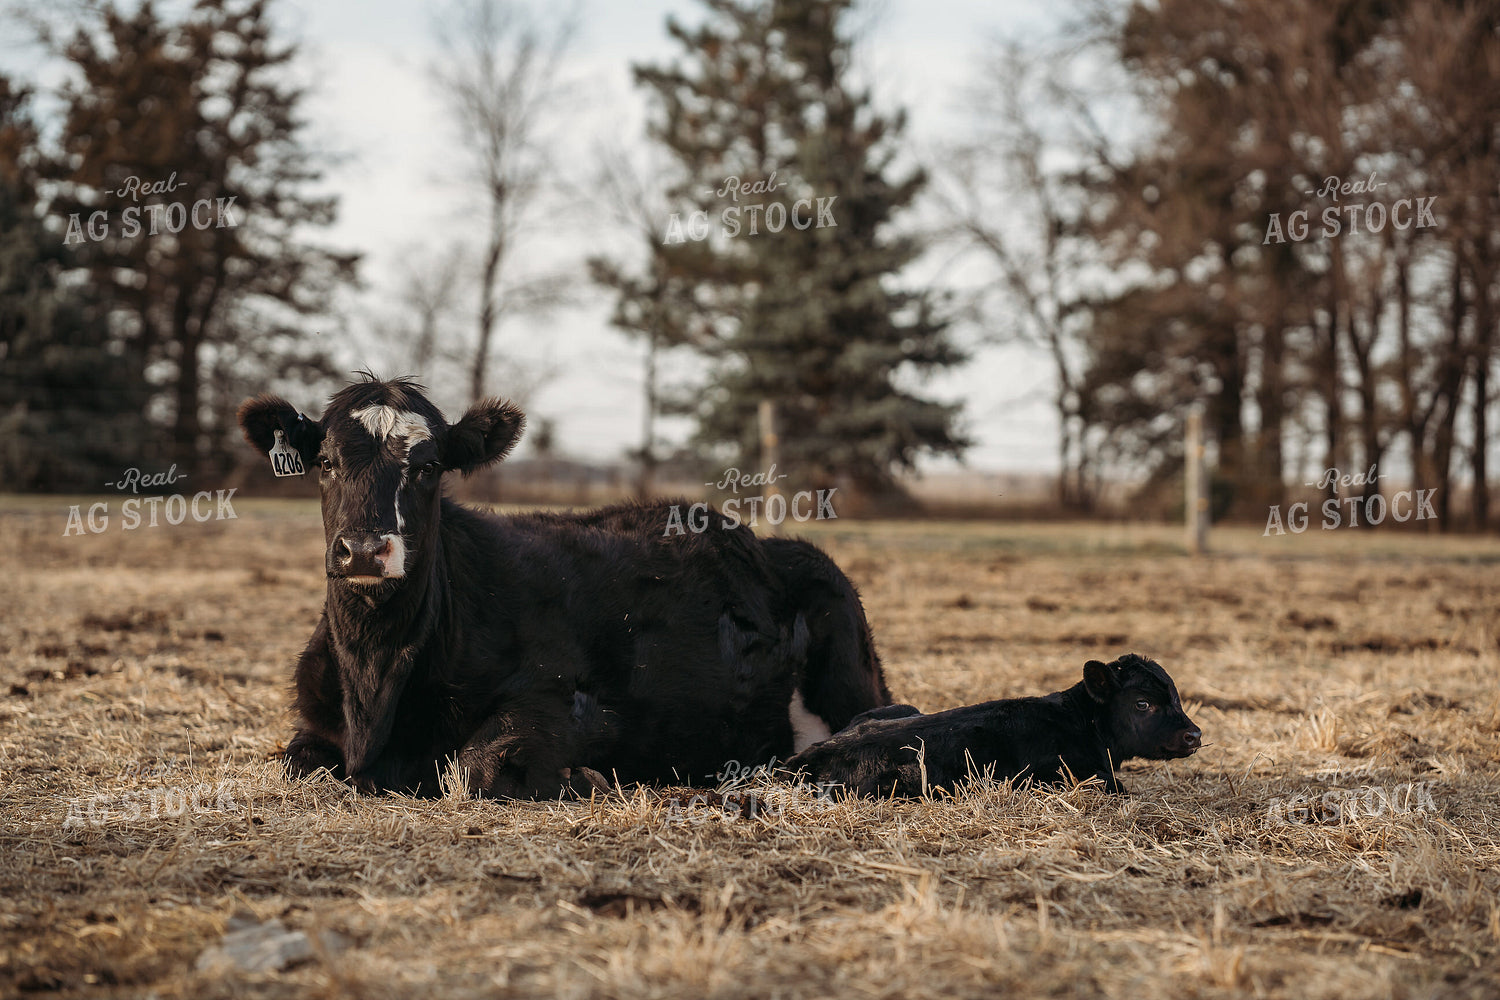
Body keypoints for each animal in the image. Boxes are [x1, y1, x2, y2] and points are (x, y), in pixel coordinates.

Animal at [236, 374, 891, 799]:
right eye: (325, 463)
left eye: (428, 467)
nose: (368, 550)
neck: (375, 680)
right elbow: (296, 762)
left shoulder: (565, 699)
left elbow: (473, 767)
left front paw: (584, 777)